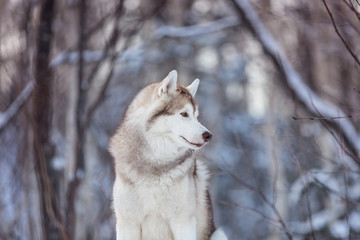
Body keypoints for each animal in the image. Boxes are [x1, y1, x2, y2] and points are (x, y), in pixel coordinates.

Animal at [109, 70, 228, 240]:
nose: (208, 135)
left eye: (196, 116)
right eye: (184, 114)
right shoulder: (127, 223)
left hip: (219, 234)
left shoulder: (183, 222)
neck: (155, 162)